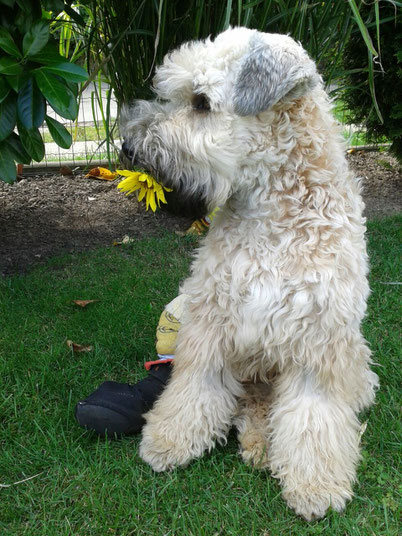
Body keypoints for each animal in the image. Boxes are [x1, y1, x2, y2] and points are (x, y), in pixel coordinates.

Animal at [120, 26, 380, 520]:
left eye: (201, 102)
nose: (128, 145)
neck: (273, 215)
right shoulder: (211, 319)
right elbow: (193, 388)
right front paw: (169, 440)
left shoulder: (317, 340)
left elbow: (313, 417)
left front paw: (315, 485)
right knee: (252, 407)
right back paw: (258, 445)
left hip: (352, 359)